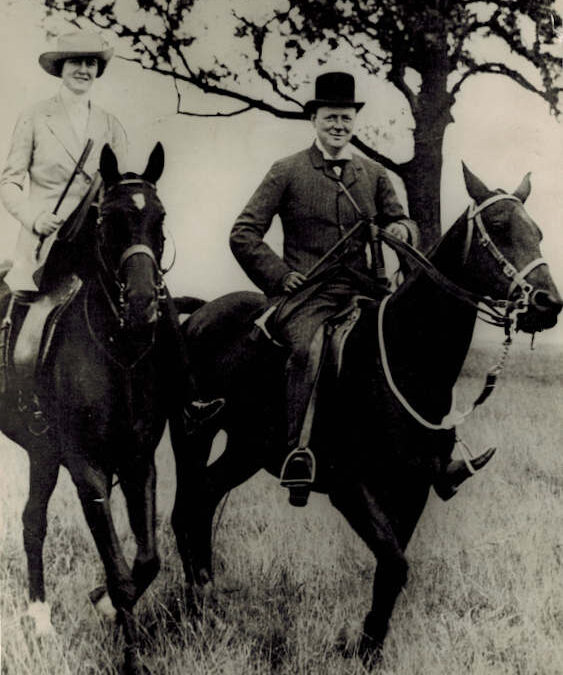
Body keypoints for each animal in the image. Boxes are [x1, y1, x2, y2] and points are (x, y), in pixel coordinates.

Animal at [0, 144, 178, 675]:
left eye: (160, 218)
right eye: (108, 219)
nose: (141, 305)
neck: (119, 355)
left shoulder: (139, 463)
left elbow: (146, 561)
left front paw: (103, 607)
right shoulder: (88, 469)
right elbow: (119, 570)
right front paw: (130, 657)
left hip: (41, 452)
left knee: (32, 523)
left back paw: (41, 622)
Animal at [172, 166, 560, 664]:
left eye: (538, 232)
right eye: (497, 227)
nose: (548, 304)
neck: (403, 357)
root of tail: (201, 313)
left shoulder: (413, 489)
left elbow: (390, 569)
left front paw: (369, 646)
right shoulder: (350, 488)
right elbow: (393, 564)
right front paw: (362, 647)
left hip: (245, 448)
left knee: (204, 497)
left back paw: (207, 598)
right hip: (191, 436)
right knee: (185, 508)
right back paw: (197, 606)